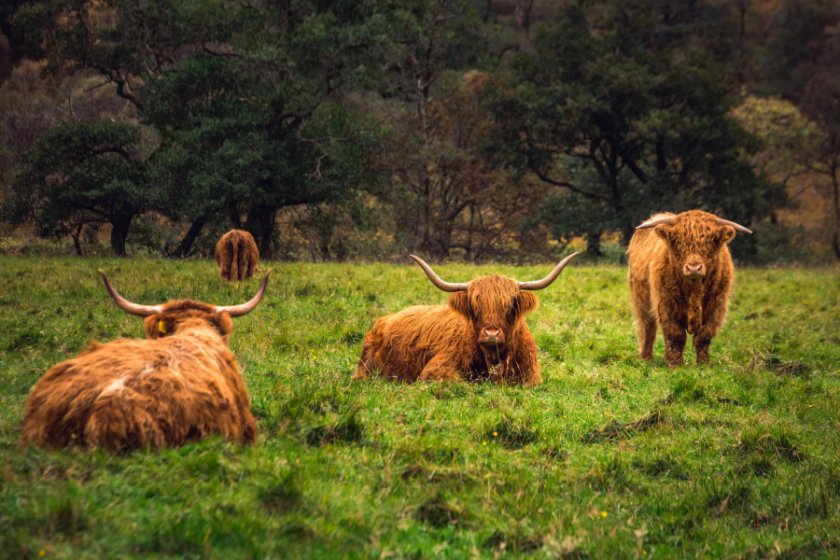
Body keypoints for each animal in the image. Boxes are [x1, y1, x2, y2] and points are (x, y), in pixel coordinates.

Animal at [352, 254, 576, 384]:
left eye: (510, 305)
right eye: (475, 307)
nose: (491, 333)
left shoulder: (532, 377)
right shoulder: (435, 371)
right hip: (366, 369)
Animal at [628, 210, 752, 368]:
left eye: (711, 240)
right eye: (677, 240)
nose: (694, 268)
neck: (694, 290)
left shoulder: (716, 307)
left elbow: (704, 336)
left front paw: (703, 364)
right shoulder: (666, 305)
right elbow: (675, 335)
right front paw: (676, 364)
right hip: (641, 301)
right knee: (647, 327)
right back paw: (646, 358)